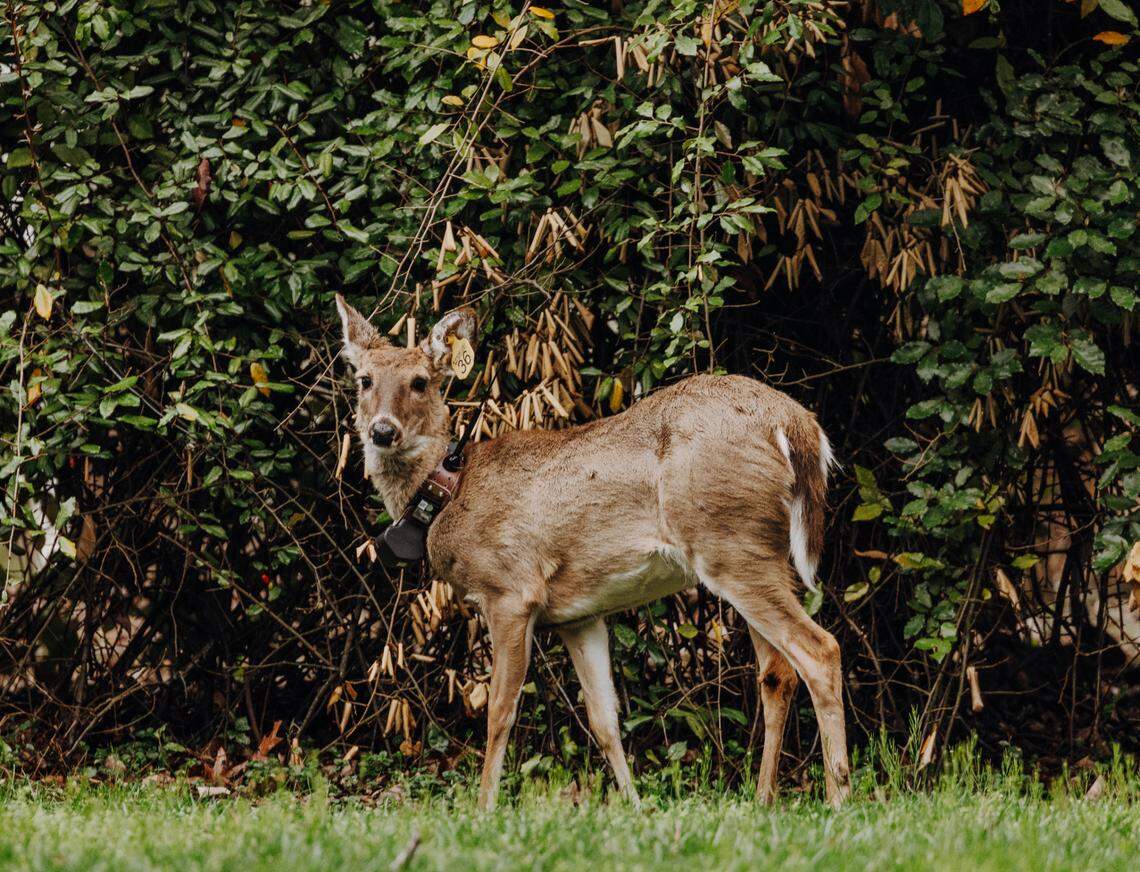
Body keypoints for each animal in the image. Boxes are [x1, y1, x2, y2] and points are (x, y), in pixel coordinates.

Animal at [335, 295, 851, 810]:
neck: (451, 491)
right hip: (757, 551)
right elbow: (604, 721)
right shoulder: (579, 615)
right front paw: (636, 807)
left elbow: (500, 711)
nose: (382, 431)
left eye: (420, 381)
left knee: (820, 651)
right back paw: (764, 799)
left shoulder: (511, 592)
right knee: (776, 673)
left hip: (729, 543)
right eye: (364, 379)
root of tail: (797, 426)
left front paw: (483, 808)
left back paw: (838, 798)